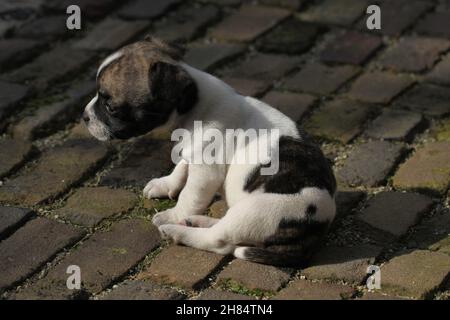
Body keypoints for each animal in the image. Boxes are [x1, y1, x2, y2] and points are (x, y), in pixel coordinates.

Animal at [85, 37, 338, 266]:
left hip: (256, 211)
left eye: (110, 106)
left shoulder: (205, 172)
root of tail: (320, 223)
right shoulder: (192, 152)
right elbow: (181, 167)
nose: (84, 116)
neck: (193, 103)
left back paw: (177, 230)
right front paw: (165, 184)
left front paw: (173, 214)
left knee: (219, 241)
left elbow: (189, 195)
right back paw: (194, 221)